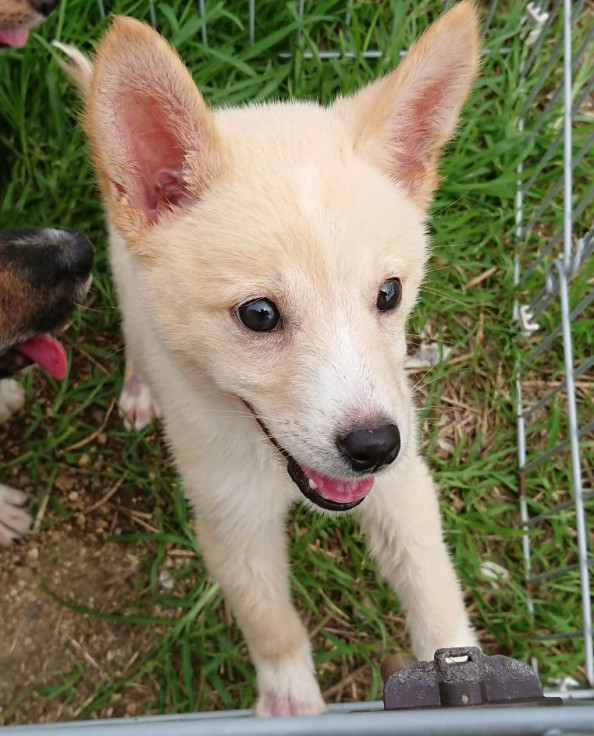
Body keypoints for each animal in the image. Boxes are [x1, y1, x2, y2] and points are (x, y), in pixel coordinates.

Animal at [57, 4, 478, 720]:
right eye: (258, 314)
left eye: (388, 294)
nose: (373, 446)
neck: (268, 460)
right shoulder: (230, 521)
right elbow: (269, 619)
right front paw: (290, 698)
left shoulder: (402, 483)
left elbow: (432, 581)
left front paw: (471, 671)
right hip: (122, 278)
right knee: (137, 339)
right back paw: (140, 390)